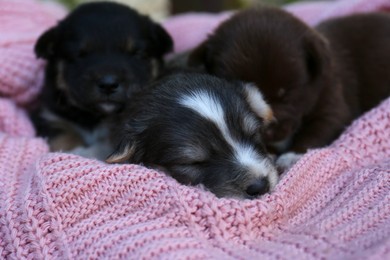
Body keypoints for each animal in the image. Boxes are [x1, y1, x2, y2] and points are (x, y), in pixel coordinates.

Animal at [32, 1, 173, 156]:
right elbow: (64, 135)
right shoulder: (49, 117)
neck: (96, 117)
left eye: (137, 53)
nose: (108, 84)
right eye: (79, 55)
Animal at [187, 7, 390, 167]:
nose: (266, 129)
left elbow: (317, 130)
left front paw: (292, 156)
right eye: (239, 91)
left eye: (286, 94)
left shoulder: (332, 103)